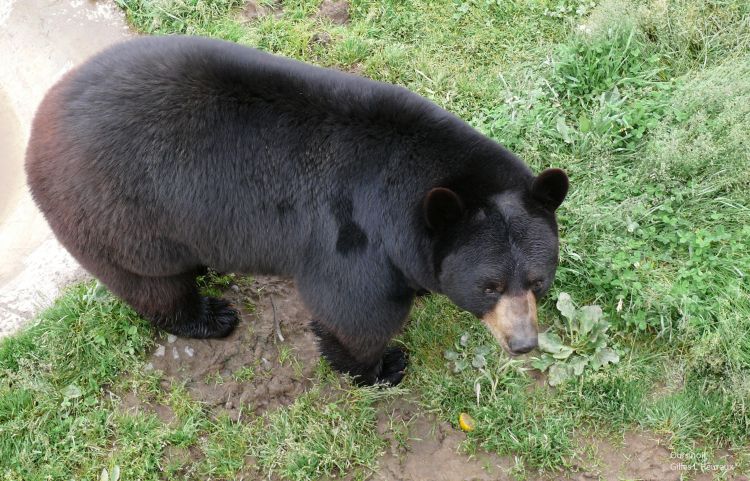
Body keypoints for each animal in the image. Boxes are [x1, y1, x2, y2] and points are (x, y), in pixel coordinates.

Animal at [27, 35, 568, 384]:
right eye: (488, 286)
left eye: (538, 280)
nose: (523, 344)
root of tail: (39, 124)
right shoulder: (355, 237)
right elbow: (356, 312)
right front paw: (379, 367)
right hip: (117, 217)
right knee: (152, 284)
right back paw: (209, 317)